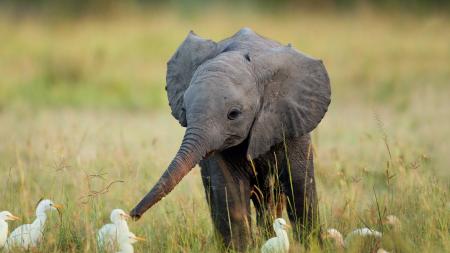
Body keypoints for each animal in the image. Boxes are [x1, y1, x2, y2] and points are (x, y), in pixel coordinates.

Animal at [130, 28, 330, 251]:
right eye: (184, 110)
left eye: (233, 114)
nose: (133, 215)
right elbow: (230, 192)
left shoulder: (291, 121)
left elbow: (300, 188)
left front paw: (314, 246)